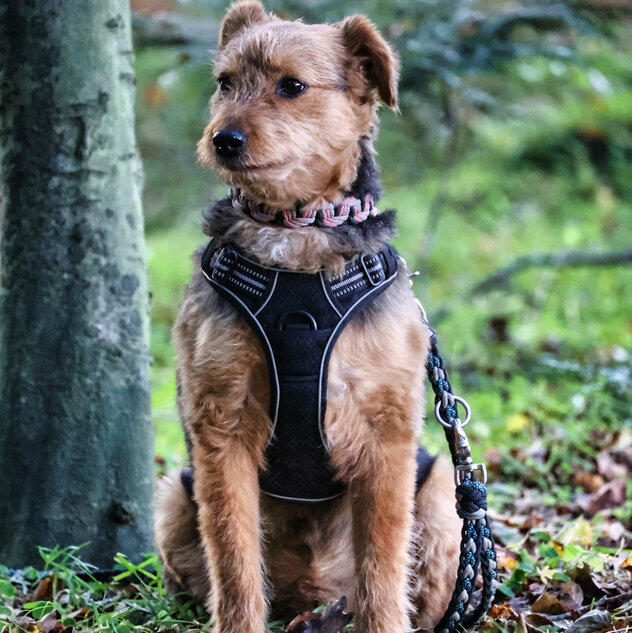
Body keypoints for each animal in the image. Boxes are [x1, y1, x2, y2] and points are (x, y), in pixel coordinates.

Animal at [153, 2, 460, 628]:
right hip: (175, 493)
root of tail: (312, 589)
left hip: (443, 495)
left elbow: (382, 566)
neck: (295, 228)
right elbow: (235, 561)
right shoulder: (222, 426)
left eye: (292, 86)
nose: (223, 140)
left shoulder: (386, 434)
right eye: (224, 82)